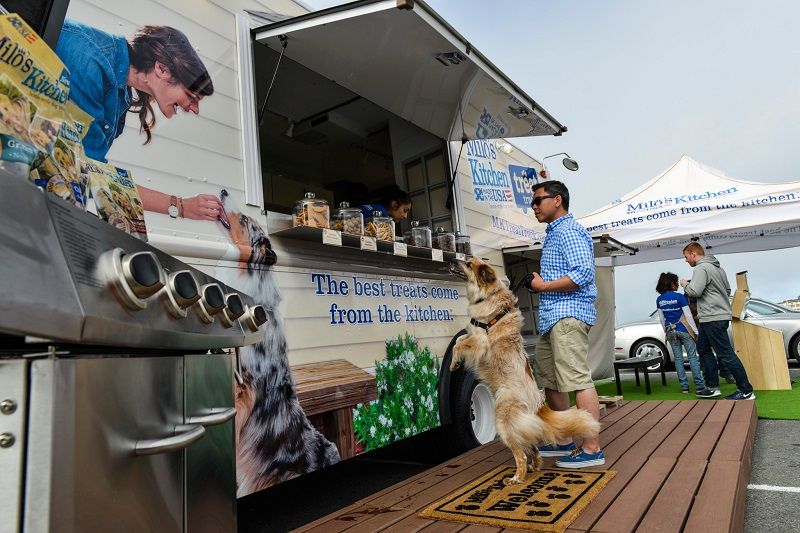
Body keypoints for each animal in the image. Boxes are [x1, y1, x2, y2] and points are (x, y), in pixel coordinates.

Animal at [446, 256, 596, 484]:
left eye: (469, 264)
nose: (451, 259)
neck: (487, 297)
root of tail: (538, 404)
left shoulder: (480, 341)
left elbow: (460, 344)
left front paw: (454, 362)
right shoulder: (473, 334)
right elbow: (460, 339)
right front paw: (455, 362)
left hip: (503, 420)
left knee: (521, 454)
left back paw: (517, 478)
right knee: (533, 448)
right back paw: (534, 467)